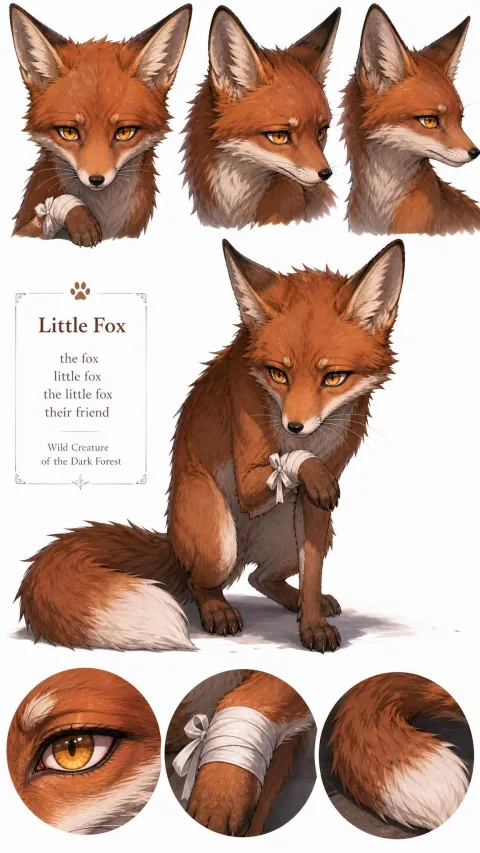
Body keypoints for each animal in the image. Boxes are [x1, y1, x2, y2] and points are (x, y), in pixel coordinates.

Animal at [9, 4, 192, 246]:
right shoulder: (26, 227)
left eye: (124, 132)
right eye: (69, 132)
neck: (106, 216)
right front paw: (77, 215)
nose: (96, 180)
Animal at [17, 238, 405, 654]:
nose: (295, 425)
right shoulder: (251, 458)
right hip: (219, 540)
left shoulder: (316, 506)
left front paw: (312, 624)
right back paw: (217, 610)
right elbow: (293, 463)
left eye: (333, 378)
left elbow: (313, 571)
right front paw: (305, 463)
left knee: (259, 579)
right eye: (278, 374)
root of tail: (173, 544)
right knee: (199, 583)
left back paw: (297, 600)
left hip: (293, 536)